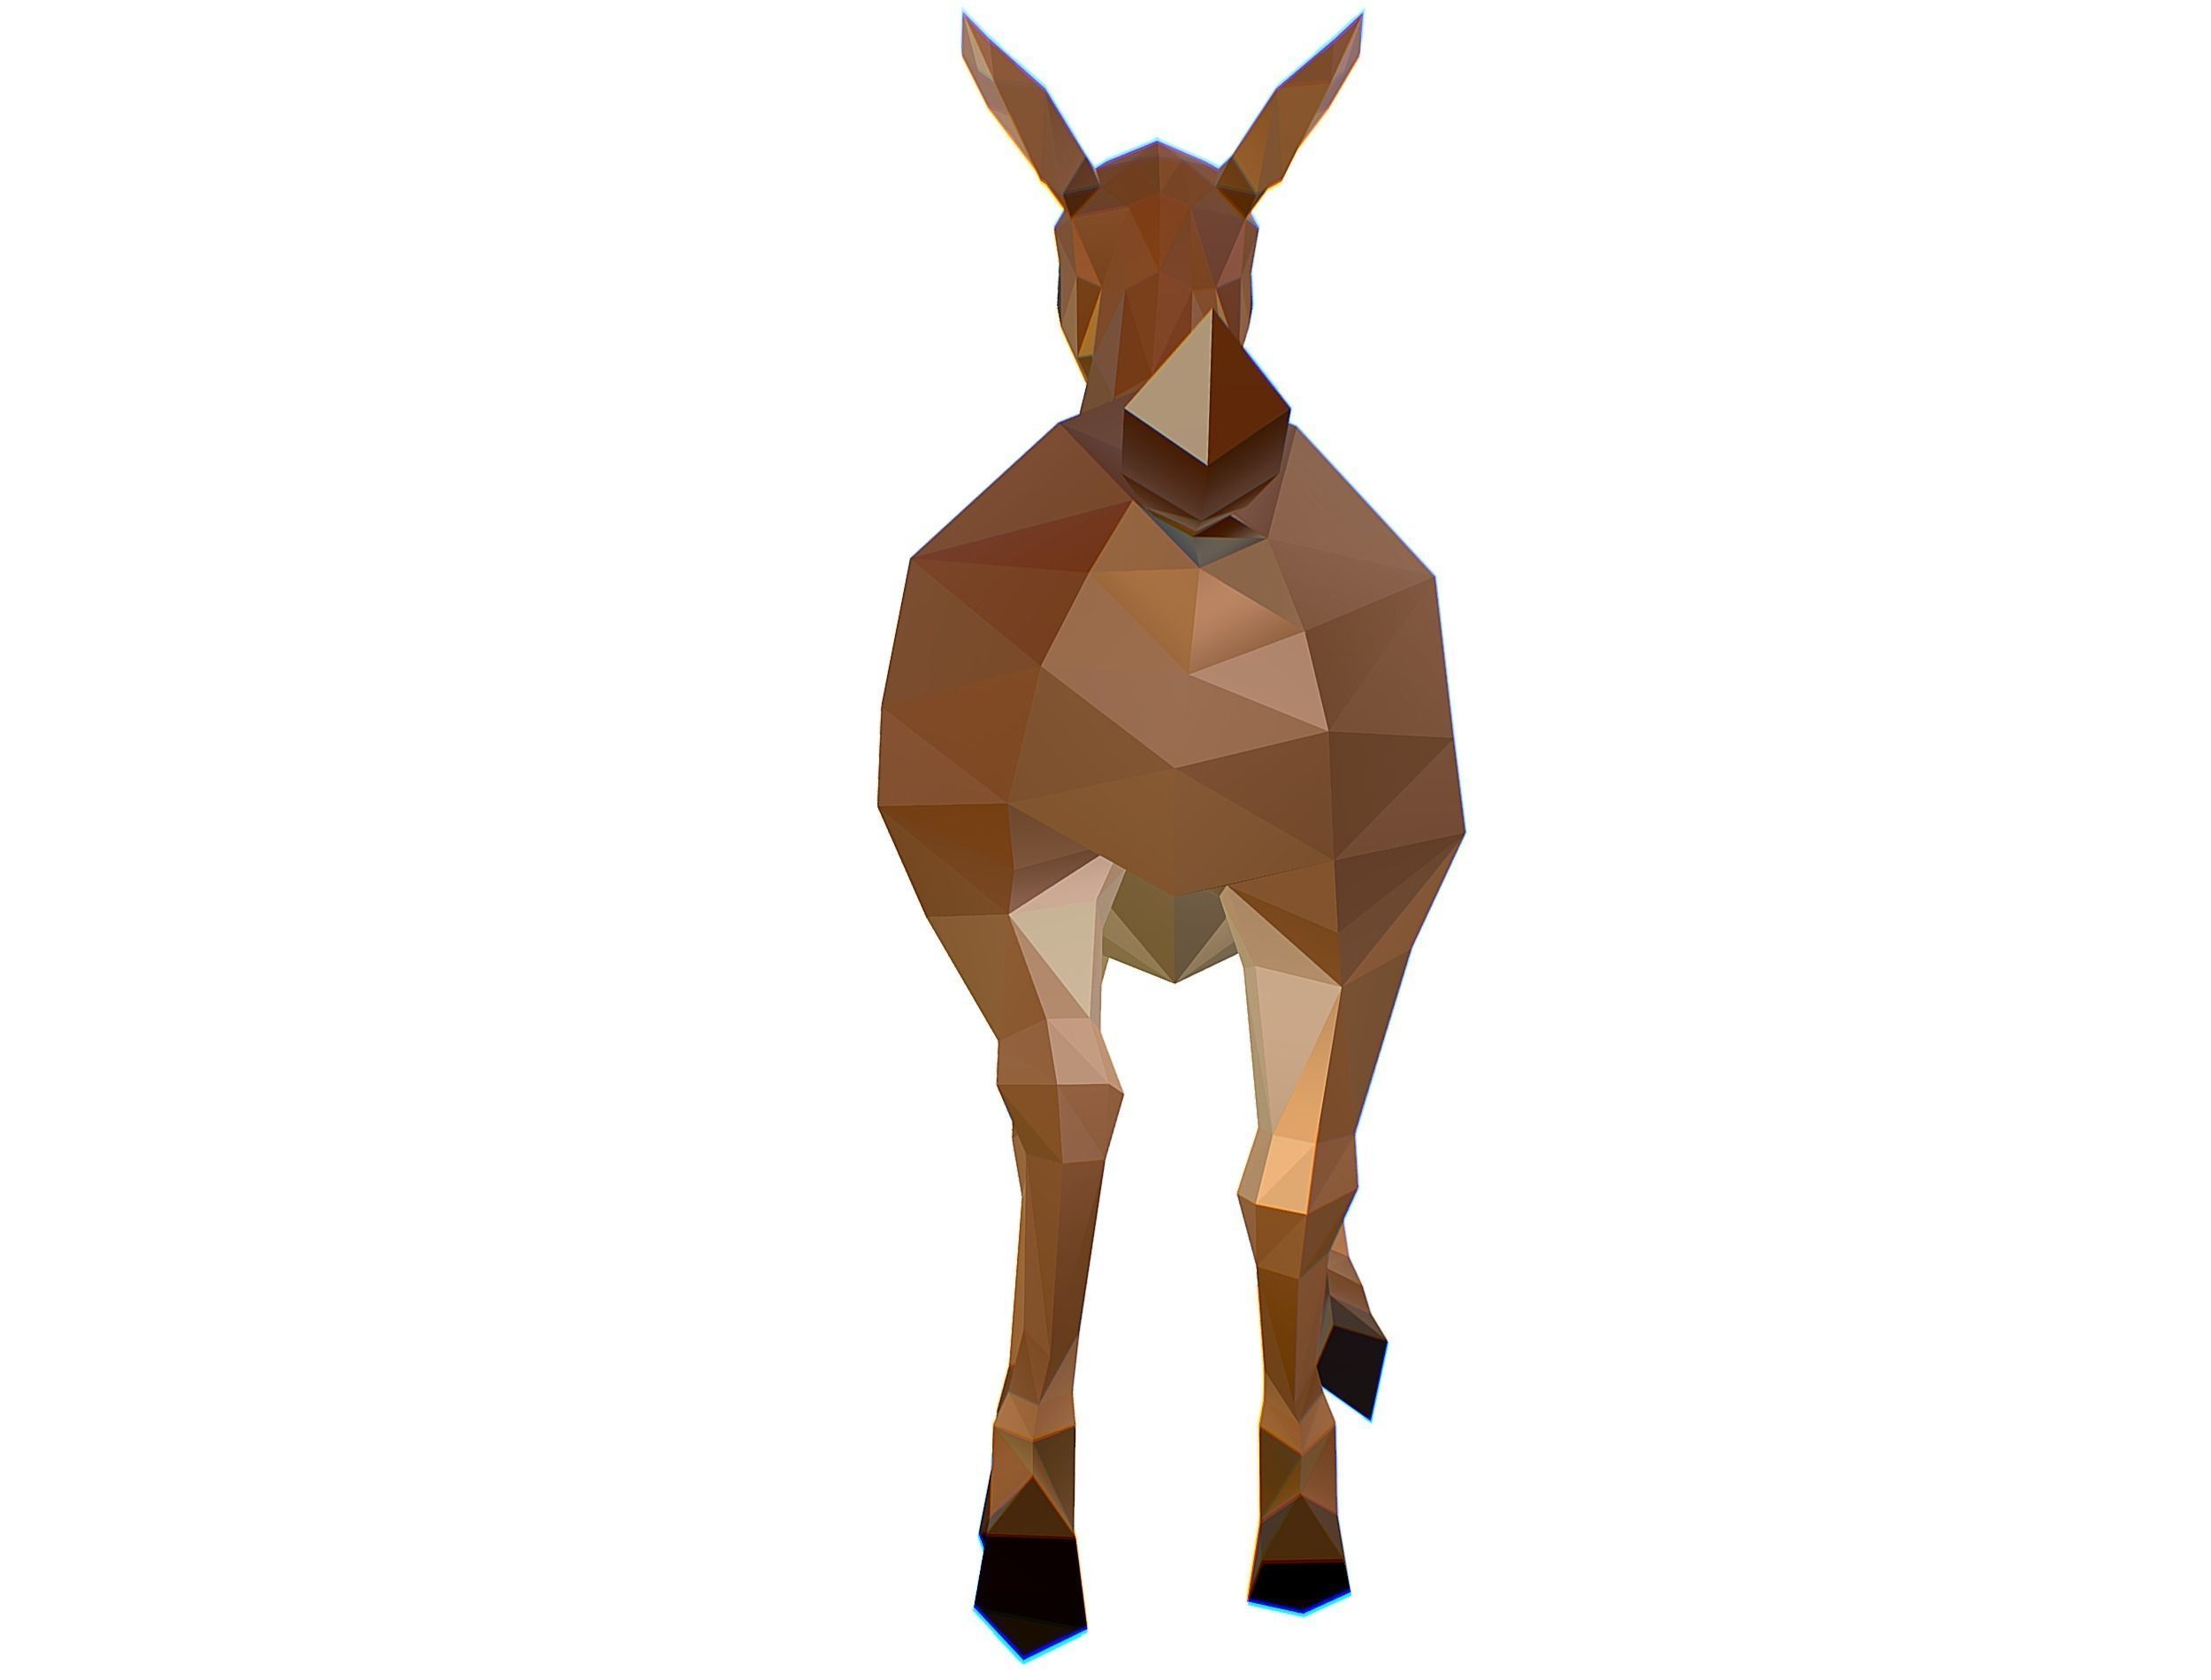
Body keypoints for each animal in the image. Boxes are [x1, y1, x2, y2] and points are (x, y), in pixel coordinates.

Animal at [879, 14, 1462, 1657]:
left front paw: (1303, 1540)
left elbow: (1292, 1178)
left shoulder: (1345, 905)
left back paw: (1350, 1330)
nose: (1214, 447)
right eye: (1068, 240)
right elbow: (1071, 1127)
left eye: (1250, 237)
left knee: (1324, 1154)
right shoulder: (1002, 887)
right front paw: (1026, 1540)